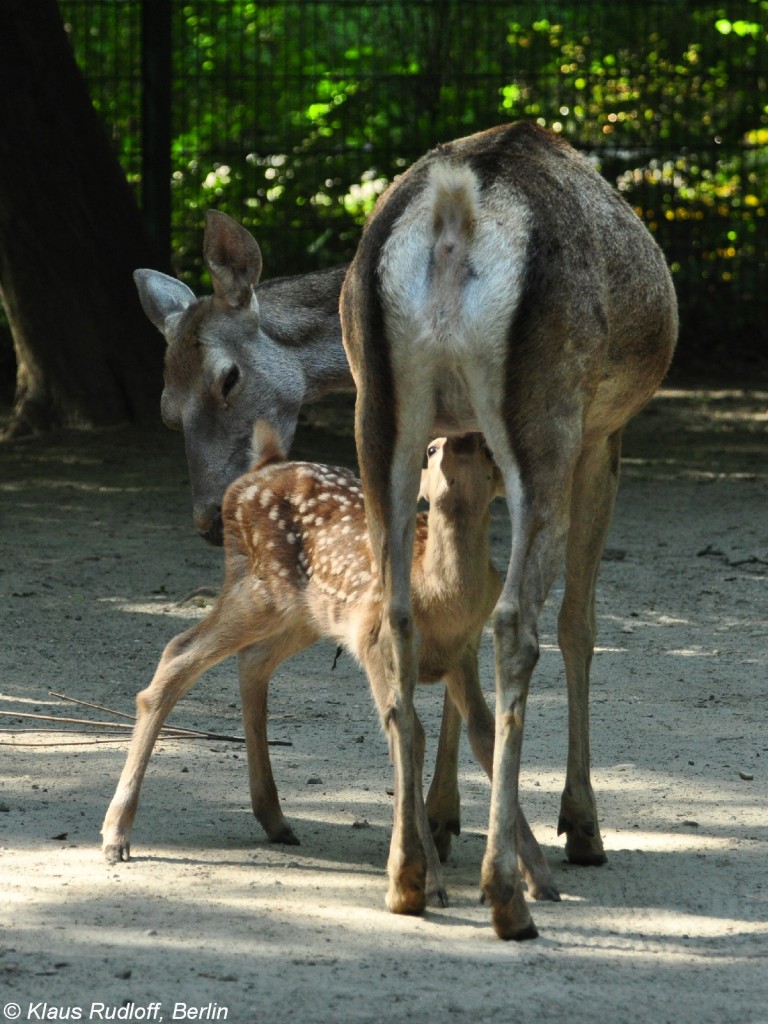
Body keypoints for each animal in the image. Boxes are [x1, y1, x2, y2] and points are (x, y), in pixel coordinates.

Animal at [339, 119, 675, 937]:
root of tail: (453, 217)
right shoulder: (603, 437)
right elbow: (579, 621)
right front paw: (583, 825)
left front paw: (443, 813)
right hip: (547, 415)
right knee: (518, 622)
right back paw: (507, 892)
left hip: (377, 413)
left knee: (398, 614)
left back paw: (409, 873)